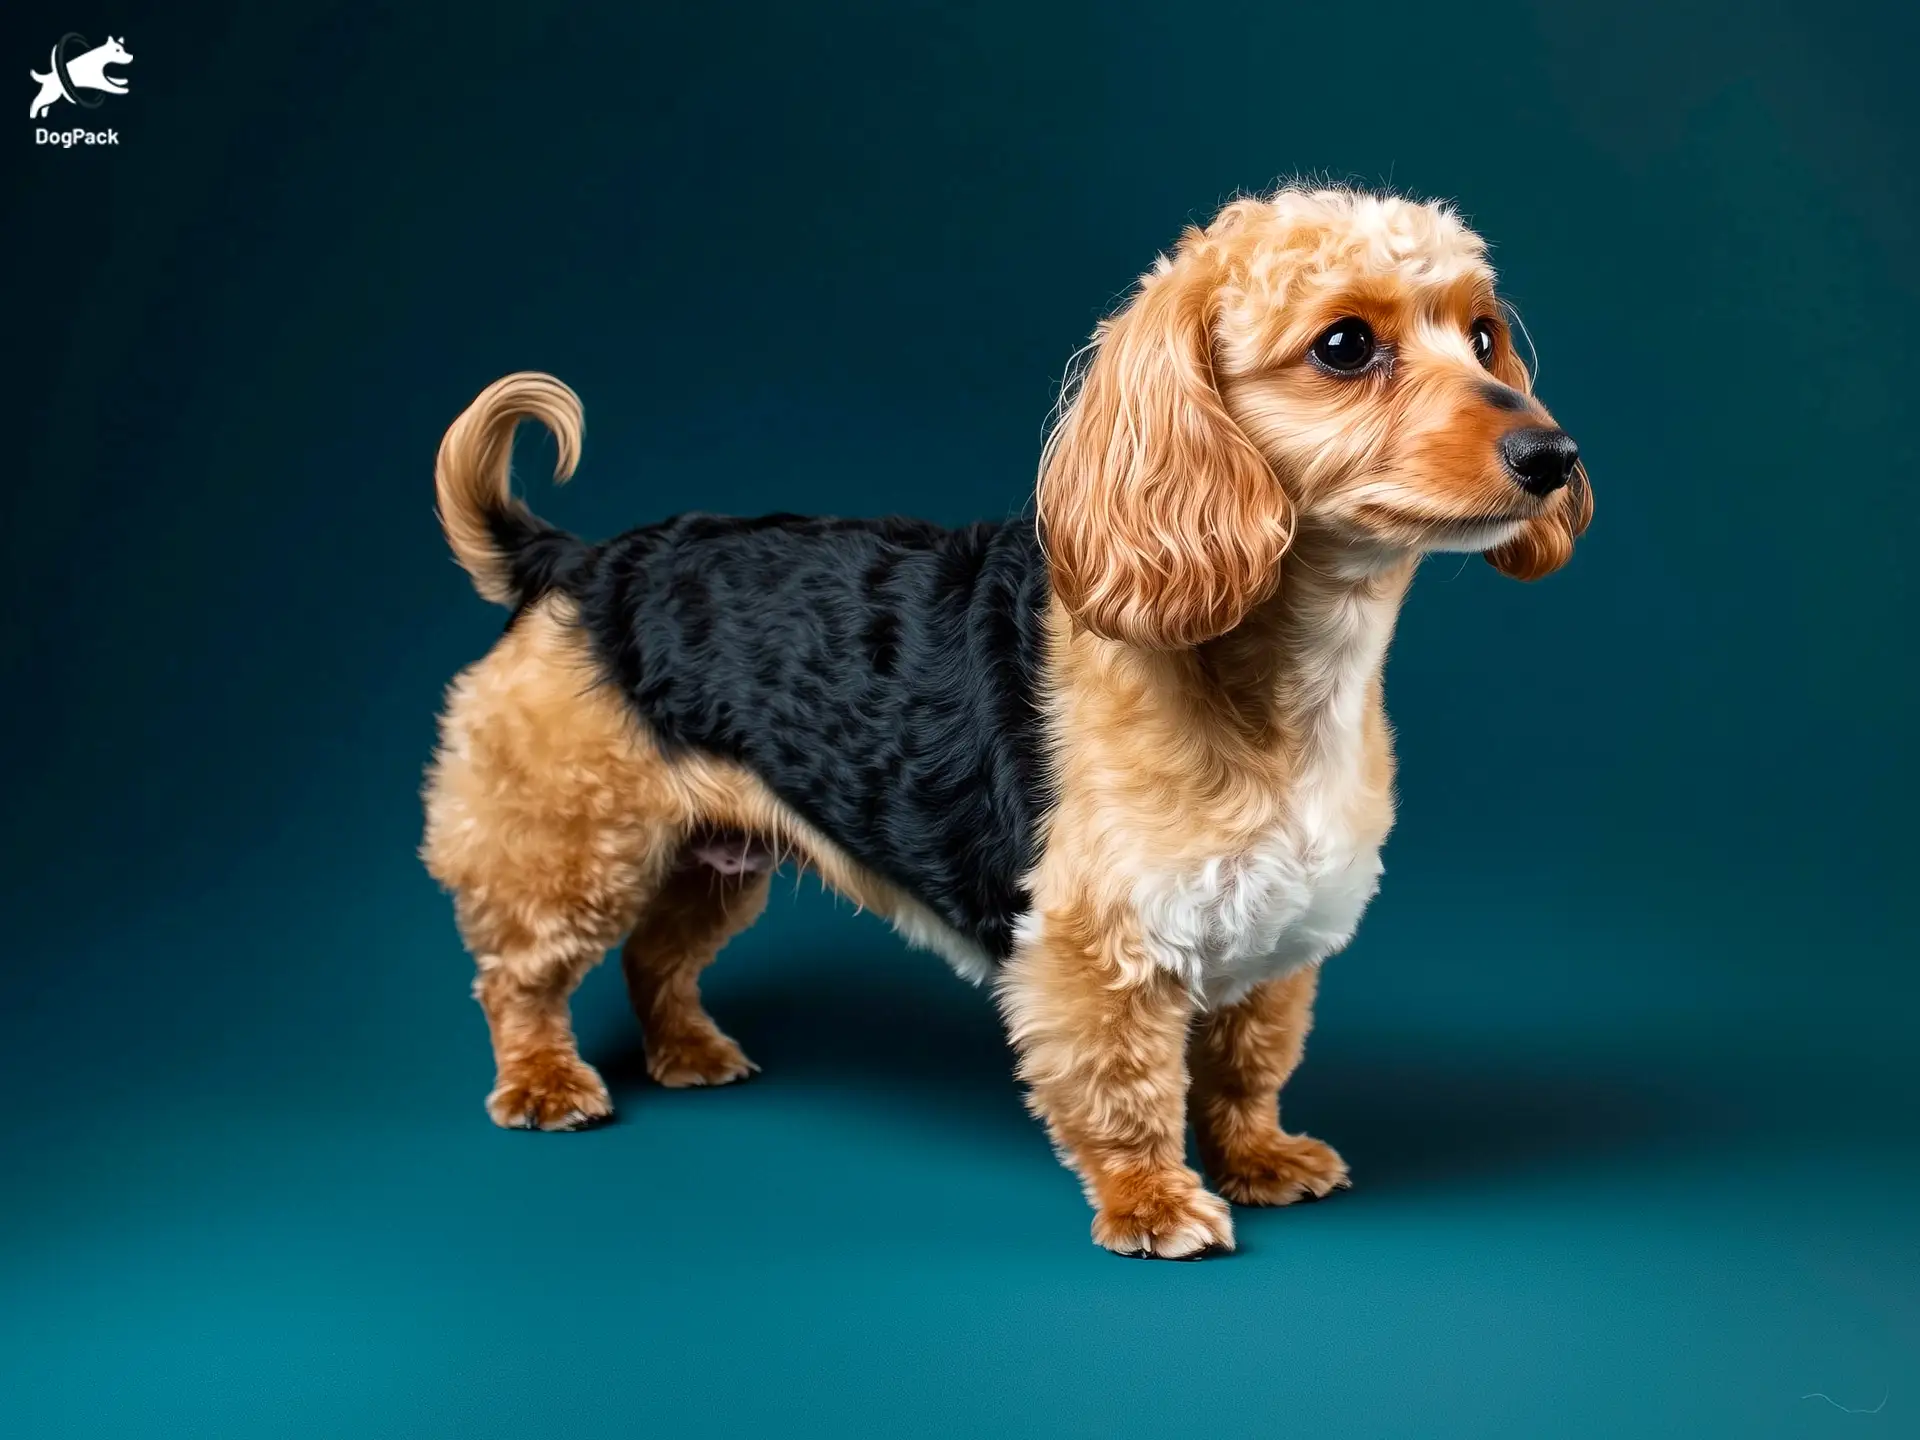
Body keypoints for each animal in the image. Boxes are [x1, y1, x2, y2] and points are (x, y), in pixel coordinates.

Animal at [420, 183, 1589, 1259]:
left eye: (1484, 334)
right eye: (1344, 346)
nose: (1554, 455)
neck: (1284, 678)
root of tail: (573, 561)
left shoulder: (1274, 933)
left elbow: (1248, 1060)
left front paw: (1258, 1156)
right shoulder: (1100, 945)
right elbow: (1127, 1086)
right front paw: (1153, 1202)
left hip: (716, 851)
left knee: (656, 956)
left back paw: (691, 1051)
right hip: (568, 842)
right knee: (519, 976)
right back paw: (544, 1082)